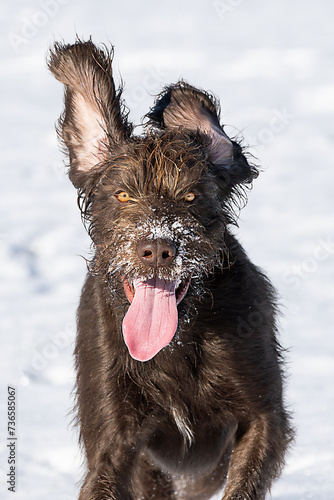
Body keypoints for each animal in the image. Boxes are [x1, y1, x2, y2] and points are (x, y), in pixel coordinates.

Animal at [48, 40, 294, 500]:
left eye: (192, 196)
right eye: (123, 195)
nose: (158, 248)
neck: (177, 345)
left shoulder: (264, 417)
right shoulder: (114, 443)